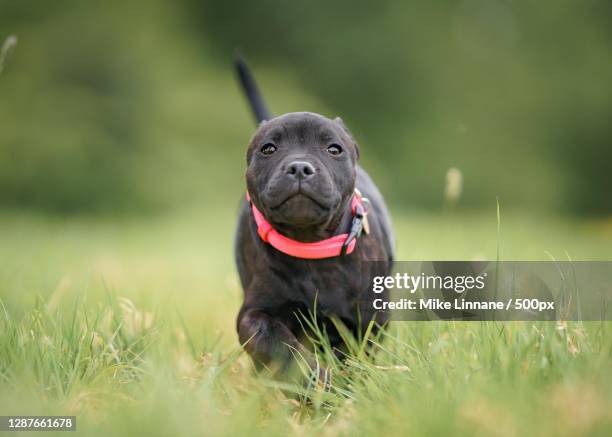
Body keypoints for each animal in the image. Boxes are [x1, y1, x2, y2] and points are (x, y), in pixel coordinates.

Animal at [232, 57, 394, 378]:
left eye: (334, 149)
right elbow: (280, 347)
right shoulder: (255, 313)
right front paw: (314, 380)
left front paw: (342, 382)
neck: (310, 245)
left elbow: (352, 355)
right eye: (268, 148)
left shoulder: (368, 320)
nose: (299, 167)